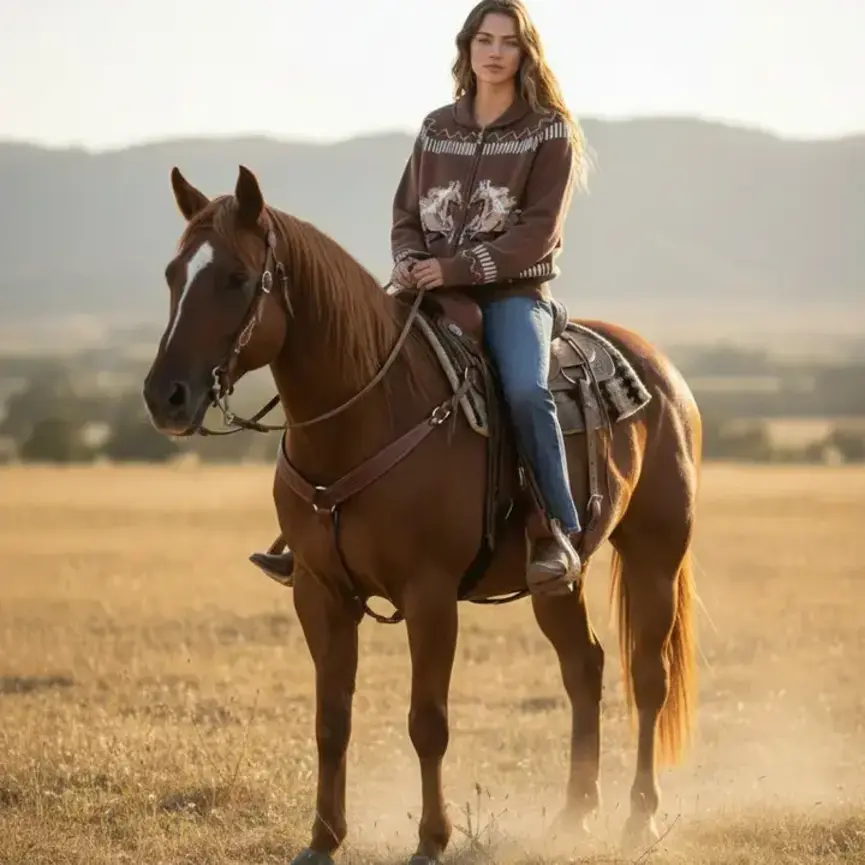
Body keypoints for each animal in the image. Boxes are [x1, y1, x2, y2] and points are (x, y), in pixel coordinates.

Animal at [142, 164, 702, 865]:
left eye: (238, 278)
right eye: (172, 273)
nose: (165, 396)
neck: (370, 411)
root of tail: (661, 370)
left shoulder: (430, 594)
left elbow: (427, 721)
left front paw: (432, 839)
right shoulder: (318, 592)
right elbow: (332, 721)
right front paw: (323, 839)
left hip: (657, 554)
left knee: (648, 677)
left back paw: (639, 818)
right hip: (556, 580)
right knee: (585, 668)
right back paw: (575, 814)